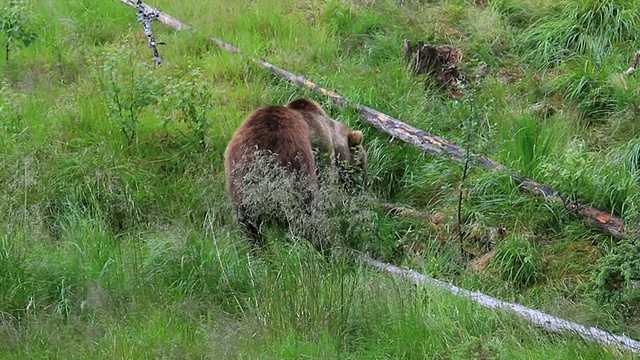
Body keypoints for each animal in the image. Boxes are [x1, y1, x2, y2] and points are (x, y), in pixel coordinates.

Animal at [224, 98, 364, 245]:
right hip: (294, 165)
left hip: (238, 180)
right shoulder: (321, 148)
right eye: (363, 163)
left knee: (248, 221)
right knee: (304, 209)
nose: (364, 182)